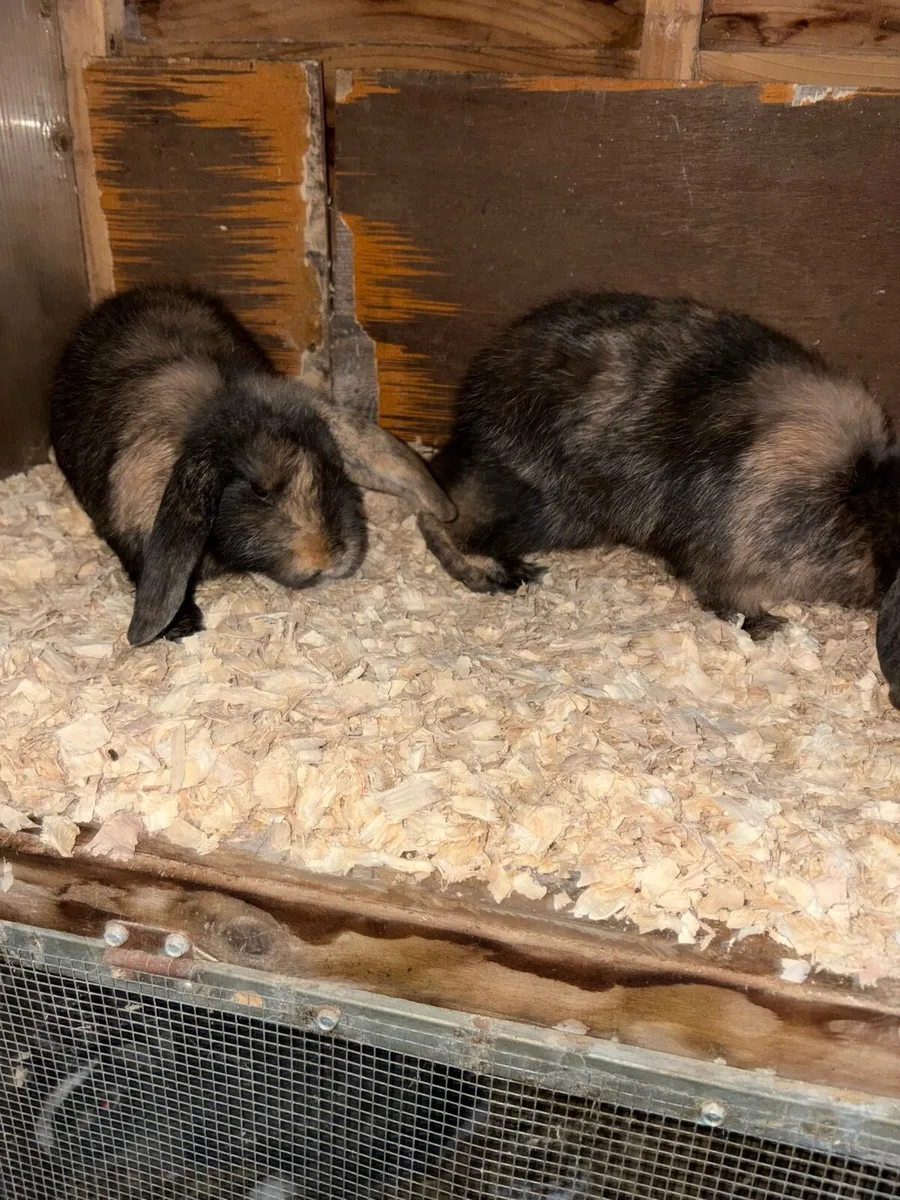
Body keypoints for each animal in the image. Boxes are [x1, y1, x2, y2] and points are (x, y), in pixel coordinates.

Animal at [418, 290, 900, 706]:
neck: (855, 494)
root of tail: (469, 419)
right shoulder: (727, 560)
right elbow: (729, 600)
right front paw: (774, 628)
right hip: (542, 511)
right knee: (452, 526)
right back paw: (506, 572)